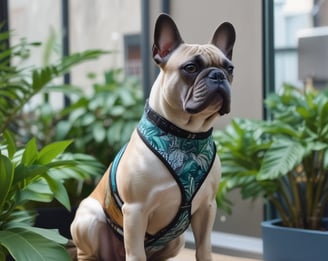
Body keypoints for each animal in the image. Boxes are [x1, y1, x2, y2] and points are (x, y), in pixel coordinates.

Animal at [72, 13, 236, 258]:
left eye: (230, 68)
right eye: (190, 68)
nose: (218, 75)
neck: (186, 137)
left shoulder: (207, 208)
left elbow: (204, 248)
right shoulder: (135, 210)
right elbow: (136, 253)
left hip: (177, 239)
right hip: (89, 218)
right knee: (88, 252)